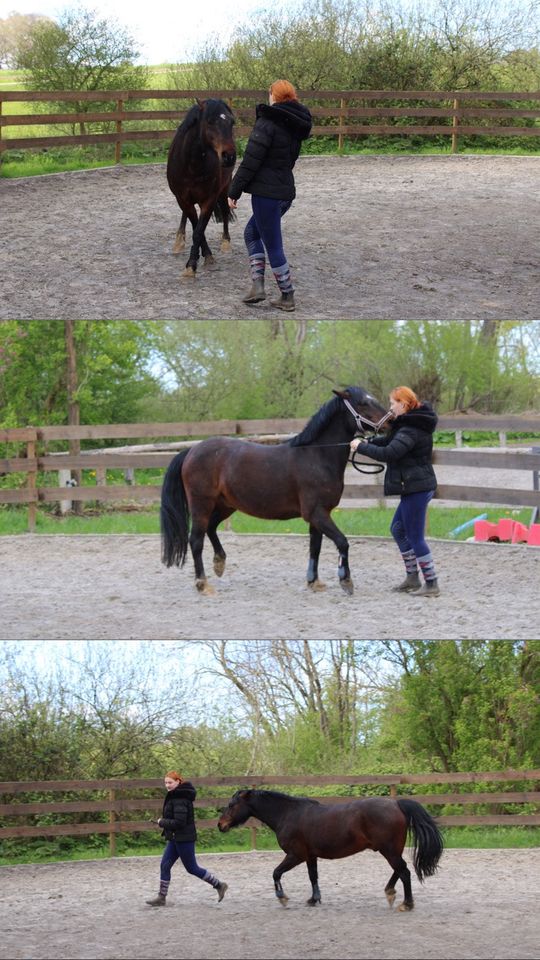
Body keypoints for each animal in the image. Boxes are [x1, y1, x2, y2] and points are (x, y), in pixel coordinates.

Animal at [158, 384, 390, 592]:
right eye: (362, 403)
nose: (391, 421)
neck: (316, 455)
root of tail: (191, 450)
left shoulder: (318, 515)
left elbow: (315, 547)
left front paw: (313, 581)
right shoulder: (317, 513)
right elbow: (342, 542)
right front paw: (345, 580)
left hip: (225, 505)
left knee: (211, 528)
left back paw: (219, 563)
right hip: (201, 505)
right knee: (196, 540)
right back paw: (202, 583)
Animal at [167, 98, 236, 278]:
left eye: (232, 122)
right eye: (210, 122)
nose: (229, 156)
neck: (192, 165)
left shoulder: (209, 200)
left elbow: (199, 230)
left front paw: (194, 264)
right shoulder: (183, 198)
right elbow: (195, 225)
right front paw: (200, 258)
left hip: (224, 188)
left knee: (225, 210)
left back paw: (226, 242)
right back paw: (179, 239)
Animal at [217, 792, 446, 912]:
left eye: (232, 804)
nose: (221, 825)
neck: (288, 814)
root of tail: (396, 803)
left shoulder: (296, 855)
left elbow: (276, 873)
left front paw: (282, 897)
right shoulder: (310, 856)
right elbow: (313, 877)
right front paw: (314, 899)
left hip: (388, 850)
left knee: (404, 872)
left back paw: (406, 904)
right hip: (390, 850)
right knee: (400, 871)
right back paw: (390, 892)